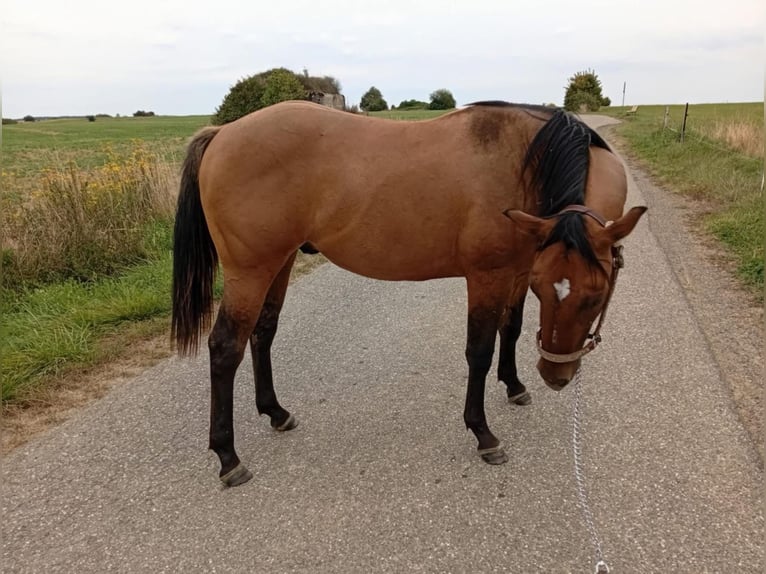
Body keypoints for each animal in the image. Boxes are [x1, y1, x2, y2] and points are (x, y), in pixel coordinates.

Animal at [171, 101, 646, 487]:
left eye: (594, 295)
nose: (556, 376)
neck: (522, 160)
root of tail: (223, 132)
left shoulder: (517, 270)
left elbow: (509, 331)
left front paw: (514, 385)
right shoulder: (487, 277)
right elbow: (479, 350)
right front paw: (483, 434)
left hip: (280, 262)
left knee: (262, 333)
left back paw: (276, 412)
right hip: (250, 272)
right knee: (225, 347)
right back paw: (228, 457)